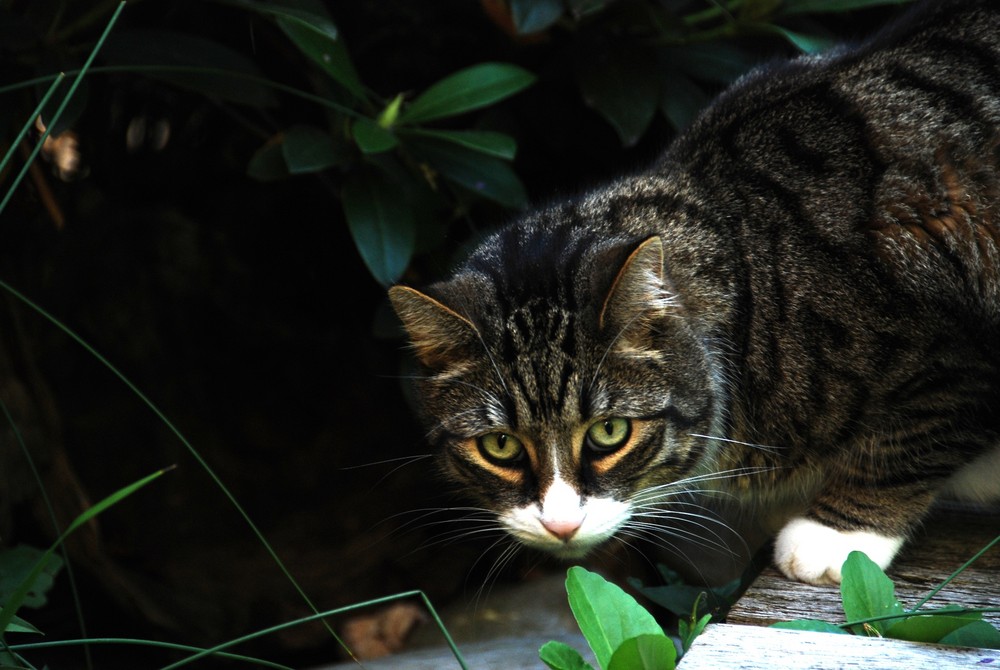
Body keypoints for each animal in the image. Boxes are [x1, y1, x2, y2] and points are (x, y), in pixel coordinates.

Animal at [388, 0, 1000, 588]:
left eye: (610, 432)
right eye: (500, 445)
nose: (561, 525)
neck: (759, 295)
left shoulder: (951, 341)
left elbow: (915, 432)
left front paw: (836, 537)